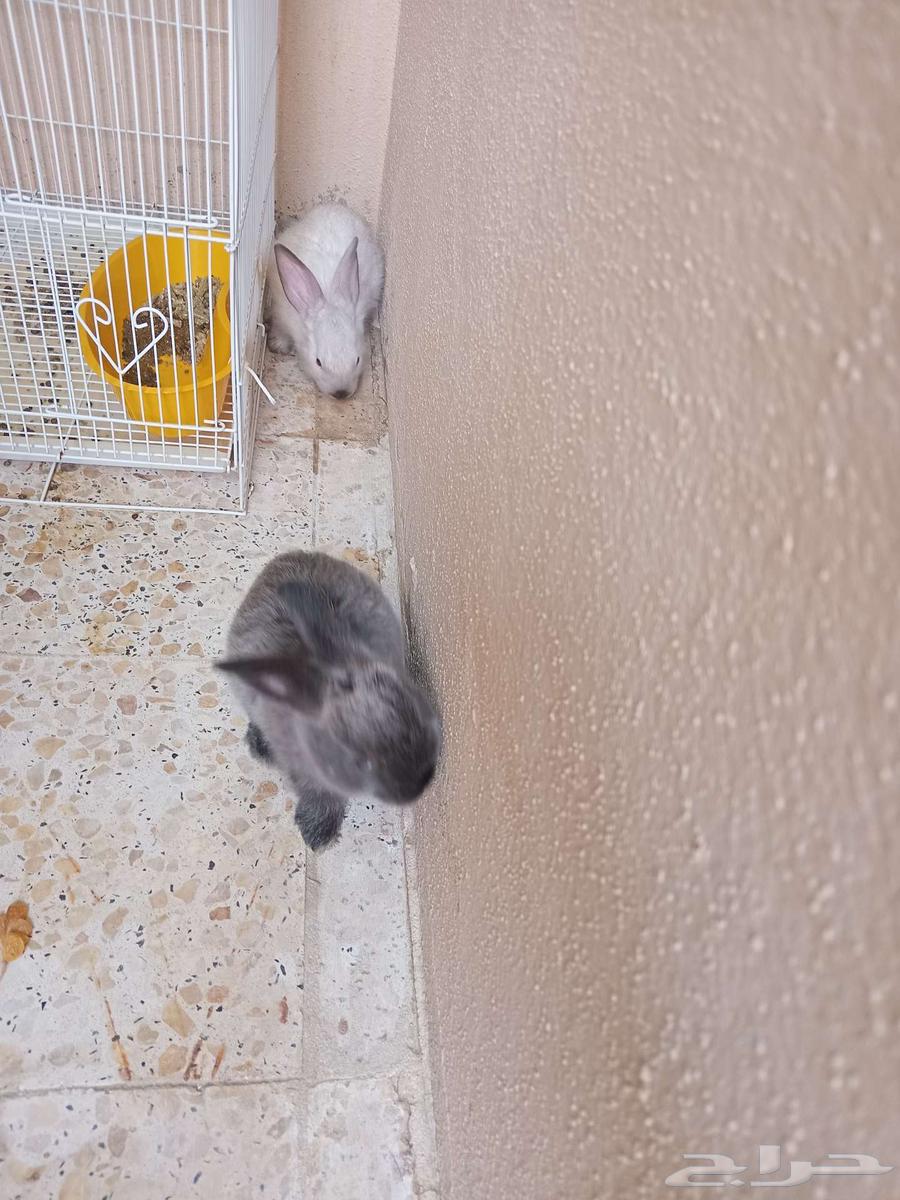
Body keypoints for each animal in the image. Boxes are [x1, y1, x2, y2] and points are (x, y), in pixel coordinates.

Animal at [216, 551, 442, 851]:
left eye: (424, 719)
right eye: (361, 762)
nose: (419, 785)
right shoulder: (304, 772)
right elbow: (321, 795)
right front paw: (318, 832)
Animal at [265, 202, 385, 399]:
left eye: (357, 359)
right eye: (318, 362)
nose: (341, 393)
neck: (328, 296)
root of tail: (334, 206)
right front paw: (278, 346)